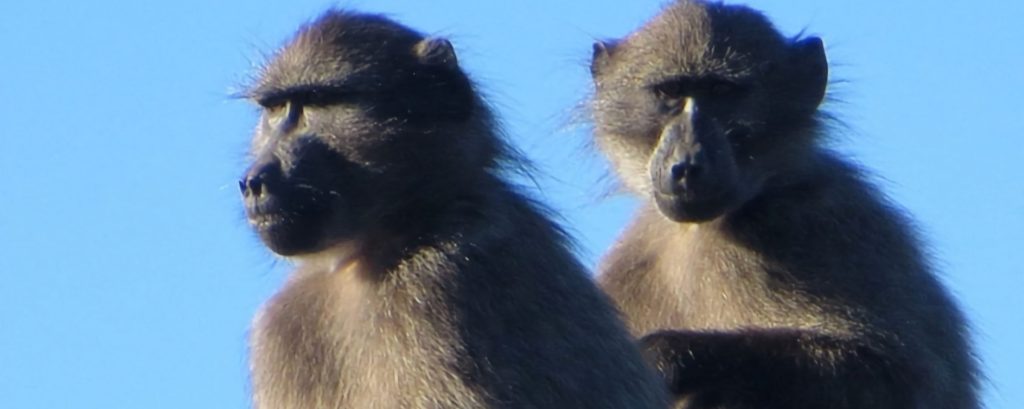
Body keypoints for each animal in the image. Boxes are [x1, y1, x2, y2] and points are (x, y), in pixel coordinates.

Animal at [588, 1, 980, 408]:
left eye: (721, 91)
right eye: (670, 92)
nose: (687, 166)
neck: (700, 230)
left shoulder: (820, 222)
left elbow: (906, 379)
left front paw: (666, 355)